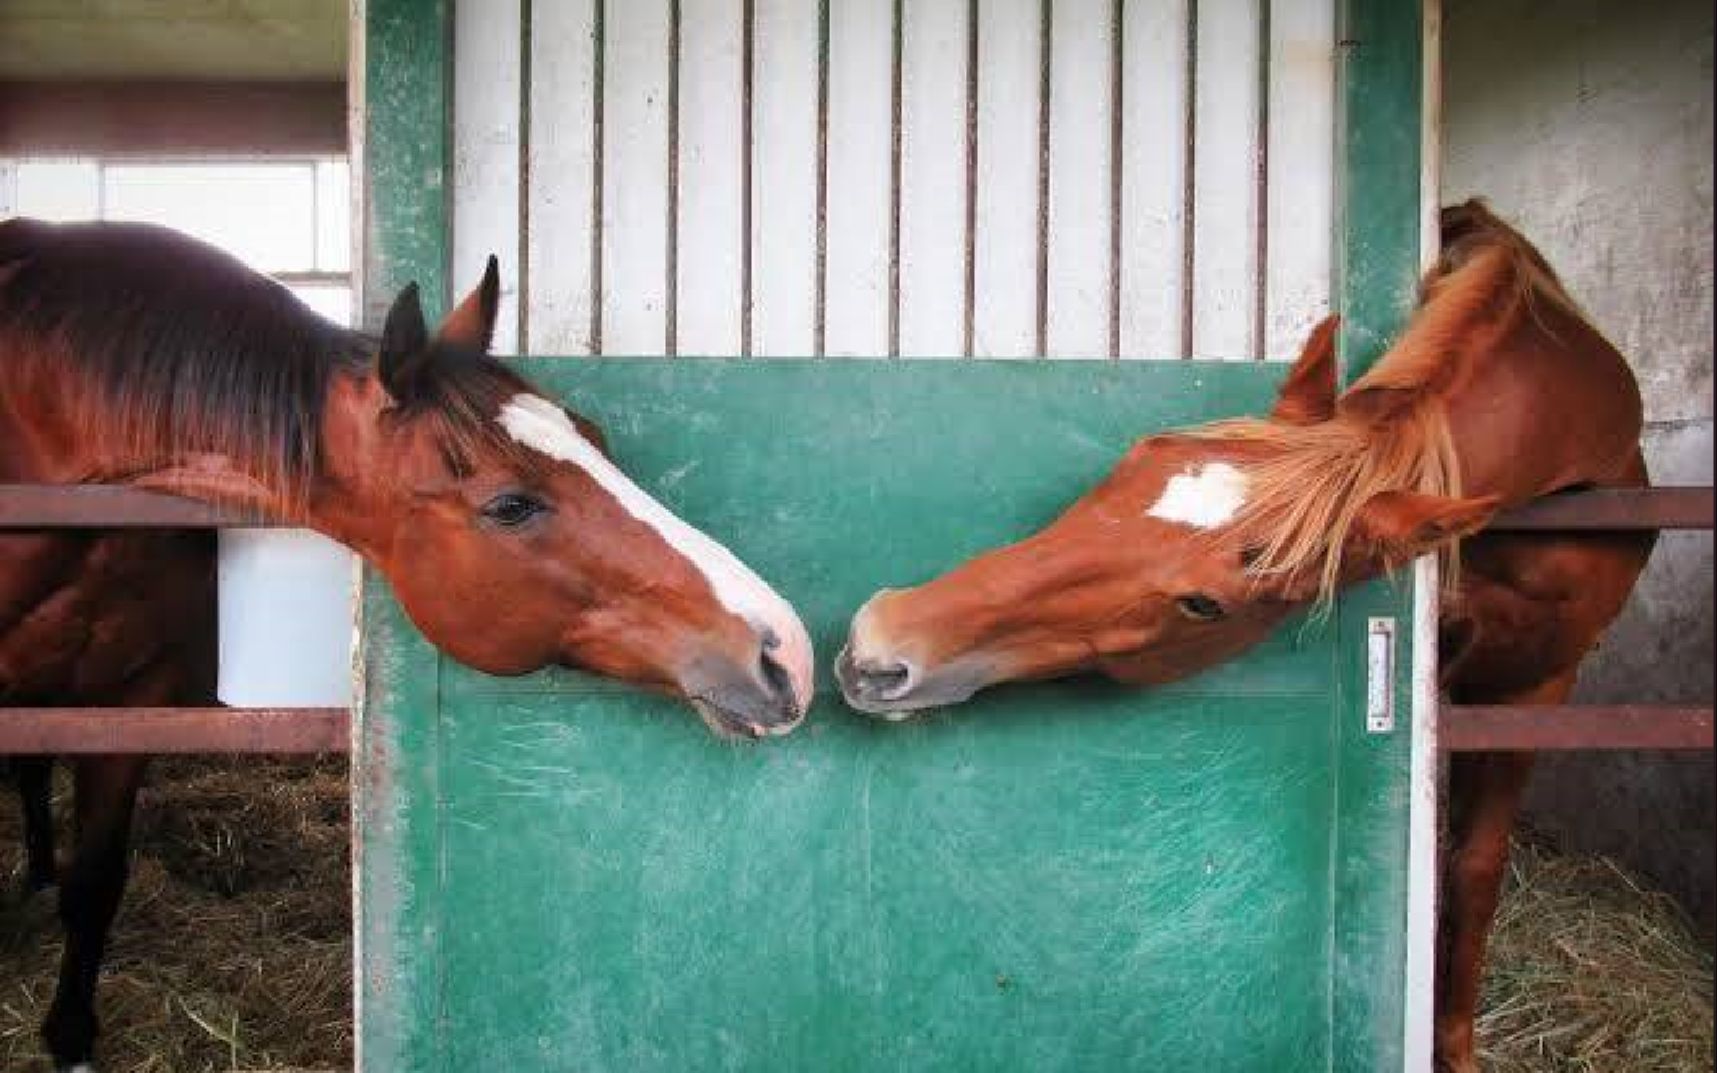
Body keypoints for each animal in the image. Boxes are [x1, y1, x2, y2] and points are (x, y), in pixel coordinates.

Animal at [0, 219, 810, 1071]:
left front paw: (71, 1037)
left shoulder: (132, 700)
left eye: (595, 437)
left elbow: (95, 884)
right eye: (509, 505)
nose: (782, 649)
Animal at [837, 202, 1655, 1071]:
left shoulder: (1534, 685)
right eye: (1143, 451)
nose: (882, 641)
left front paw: (1456, 1047)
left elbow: (1472, 865)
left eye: (1204, 604)